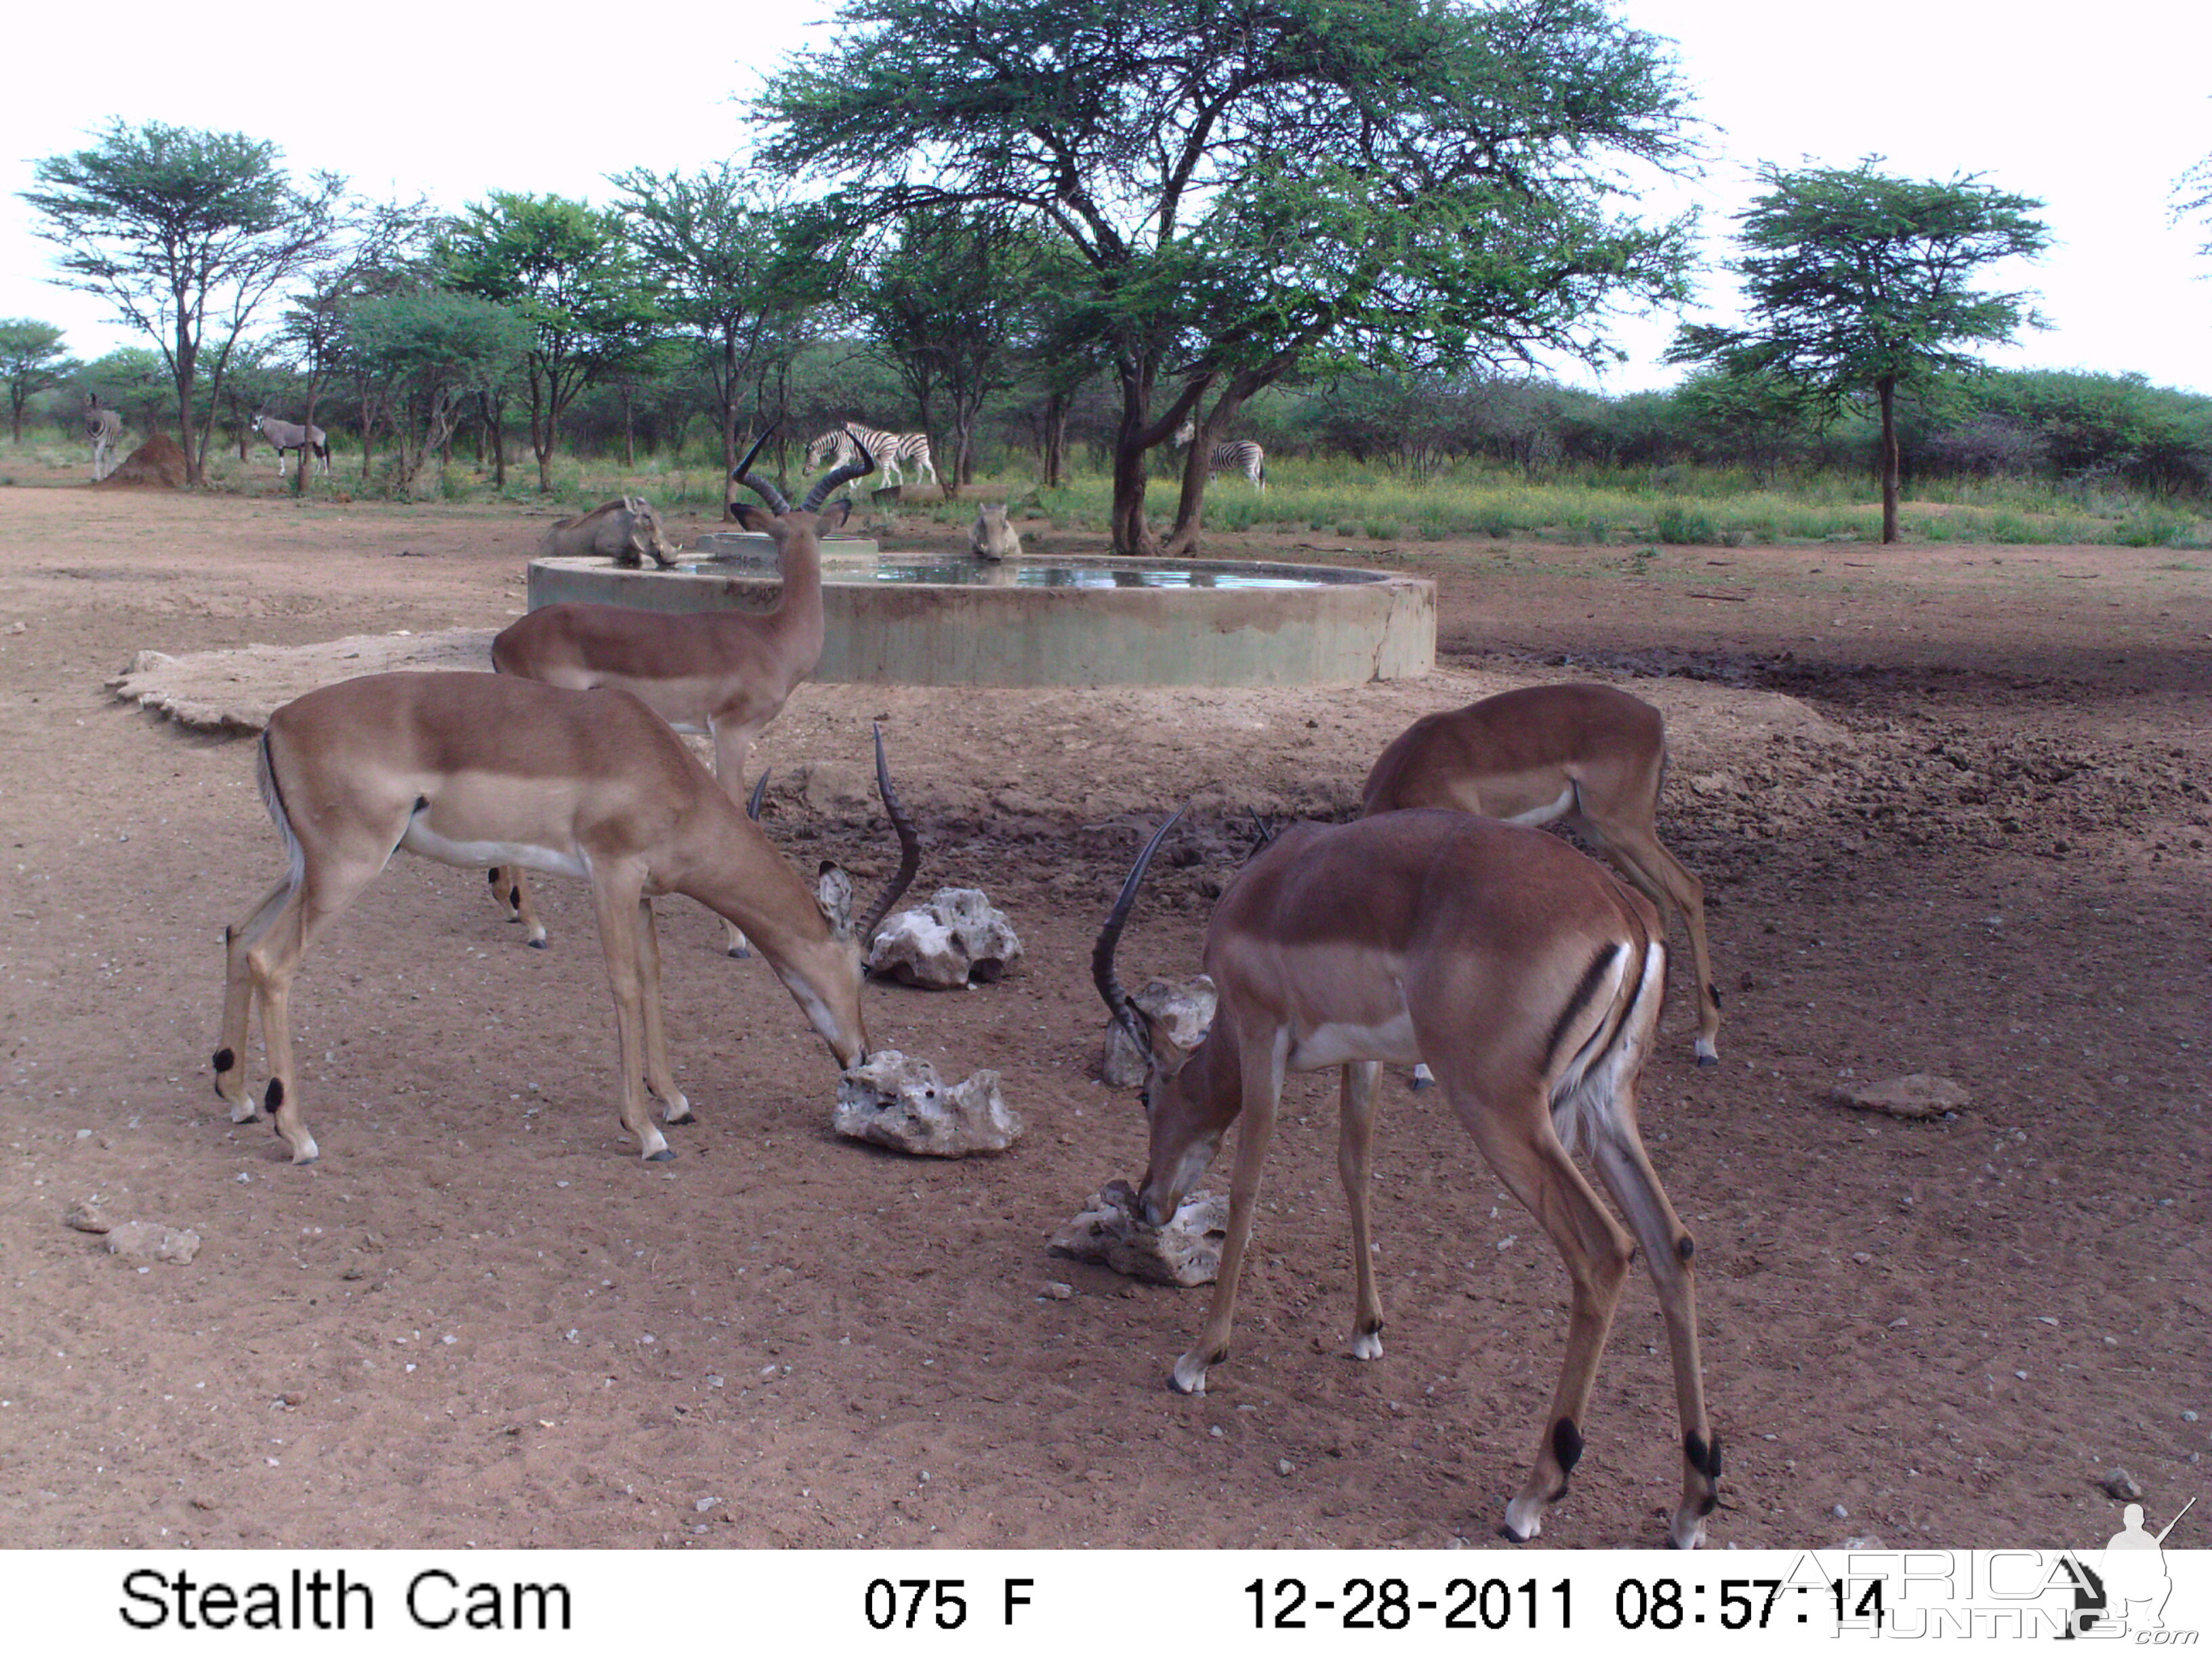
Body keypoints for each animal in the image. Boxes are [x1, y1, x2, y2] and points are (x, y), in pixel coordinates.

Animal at [84, 393, 122, 480]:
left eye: (99, 411)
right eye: (89, 411)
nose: (96, 424)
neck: (95, 431)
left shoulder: (102, 440)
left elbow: (98, 457)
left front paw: (98, 477)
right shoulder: (92, 442)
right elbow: (95, 458)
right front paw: (95, 477)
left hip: (115, 442)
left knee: (113, 456)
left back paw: (112, 472)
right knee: (106, 458)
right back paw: (105, 475)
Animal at [805, 422, 933, 487]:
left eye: (809, 459)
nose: (805, 473)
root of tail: (925, 436)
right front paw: (853, 486)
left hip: (921, 455)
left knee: (930, 468)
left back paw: (933, 484)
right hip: (915, 458)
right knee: (920, 471)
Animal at [1168, 417, 1274, 491]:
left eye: (1183, 431)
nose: (1173, 442)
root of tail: (1258, 448)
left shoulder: (1208, 467)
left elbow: (1211, 482)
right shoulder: (1212, 469)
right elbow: (1214, 483)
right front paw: (1216, 495)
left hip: (1248, 463)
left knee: (1255, 481)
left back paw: (1254, 496)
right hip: (1257, 465)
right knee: (1261, 480)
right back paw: (1261, 498)